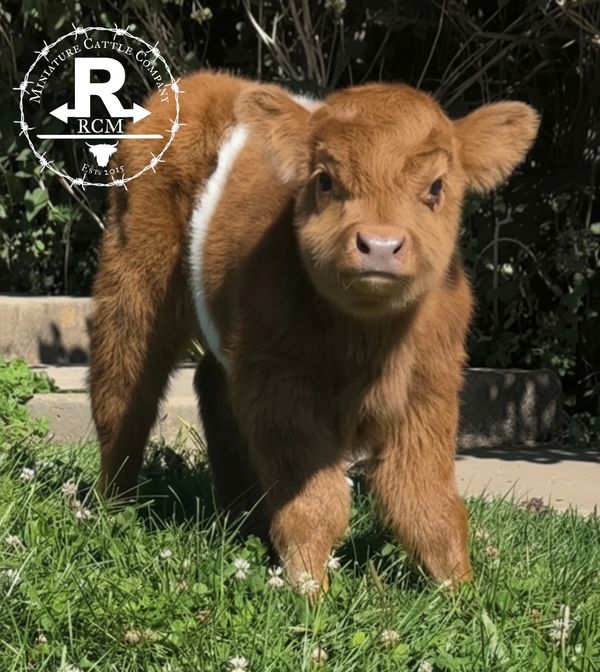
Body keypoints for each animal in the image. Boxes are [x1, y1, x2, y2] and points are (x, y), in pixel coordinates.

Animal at [88, 71, 539, 595]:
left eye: (435, 187)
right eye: (325, 180)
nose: (380, 245)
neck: (367, 341)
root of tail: (201, 82)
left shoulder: (428, 390)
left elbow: (428, 502)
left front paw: (461, 594)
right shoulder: (283, 387)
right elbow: (315, 502)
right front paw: (308, 587)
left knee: (212, 386)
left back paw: (241, 517)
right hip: (133, 279)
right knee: (124, 388)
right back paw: (111, 507)